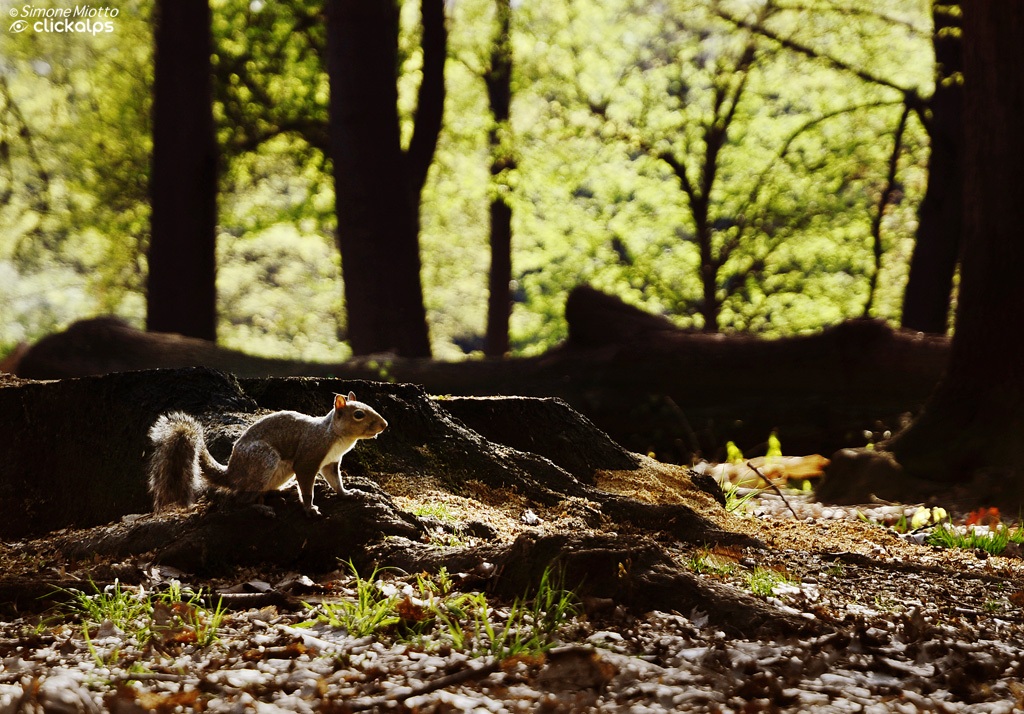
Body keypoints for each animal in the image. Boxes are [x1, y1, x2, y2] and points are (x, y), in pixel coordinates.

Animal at [146, 391, 388, 515]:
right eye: (358, 414)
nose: (384, 425)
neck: (334, 435)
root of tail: (232, 474)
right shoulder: (308, 458)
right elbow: (307, 486)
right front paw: (310, 507)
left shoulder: (330, 462)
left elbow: (335, 481)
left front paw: (347, 493)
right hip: (264, 460)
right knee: (239, 500)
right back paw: (260, 508)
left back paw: (281, 492)